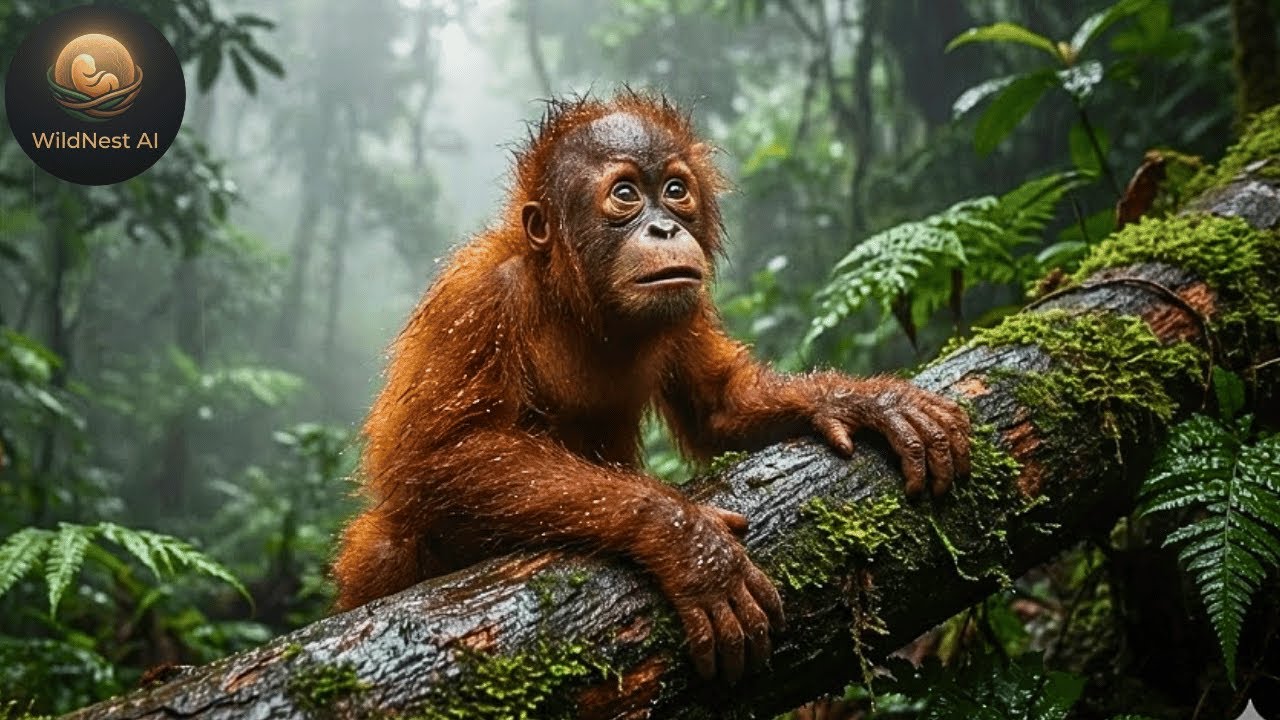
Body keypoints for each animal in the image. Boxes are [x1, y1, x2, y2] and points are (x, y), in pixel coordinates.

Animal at [332, 91, 971, 684]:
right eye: (625, 195)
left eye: (675, 189)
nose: (665, 226)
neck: (576, 305)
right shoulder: (475, 303)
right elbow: (440, 457)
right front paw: (687, 542)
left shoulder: (685, 306)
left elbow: (719, 406)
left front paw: (867, 400)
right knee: (390, 542)